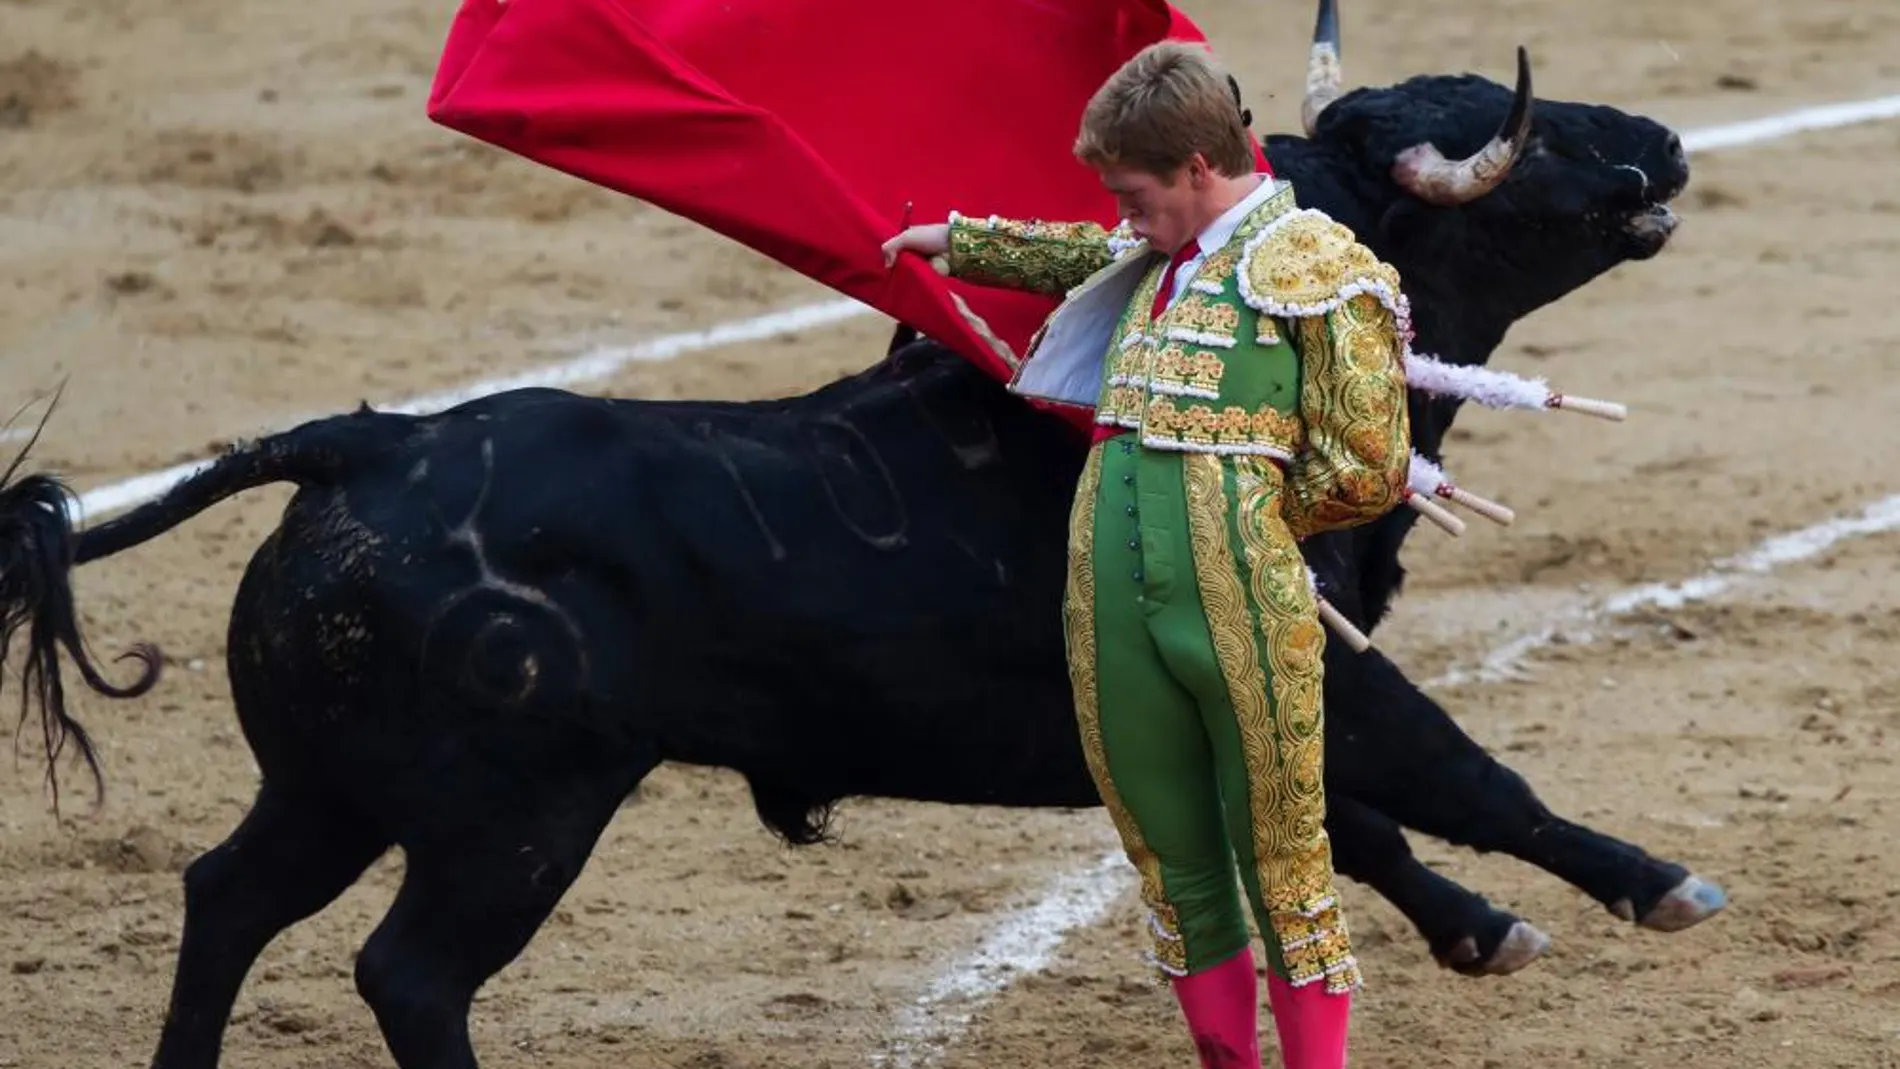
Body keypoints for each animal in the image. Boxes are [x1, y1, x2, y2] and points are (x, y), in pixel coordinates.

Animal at [0, 54, 1725, 1069]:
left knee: (226, 896)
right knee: (410, 972)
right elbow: (1461, 774)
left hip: (333, 785)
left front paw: (1483, 930)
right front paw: (1656, 884)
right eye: (1518, 137)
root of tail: (360, 445)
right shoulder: (1313, 670)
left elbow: (1355, 822)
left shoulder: (1248, 693)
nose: (1662, 138)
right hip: (513, 814)